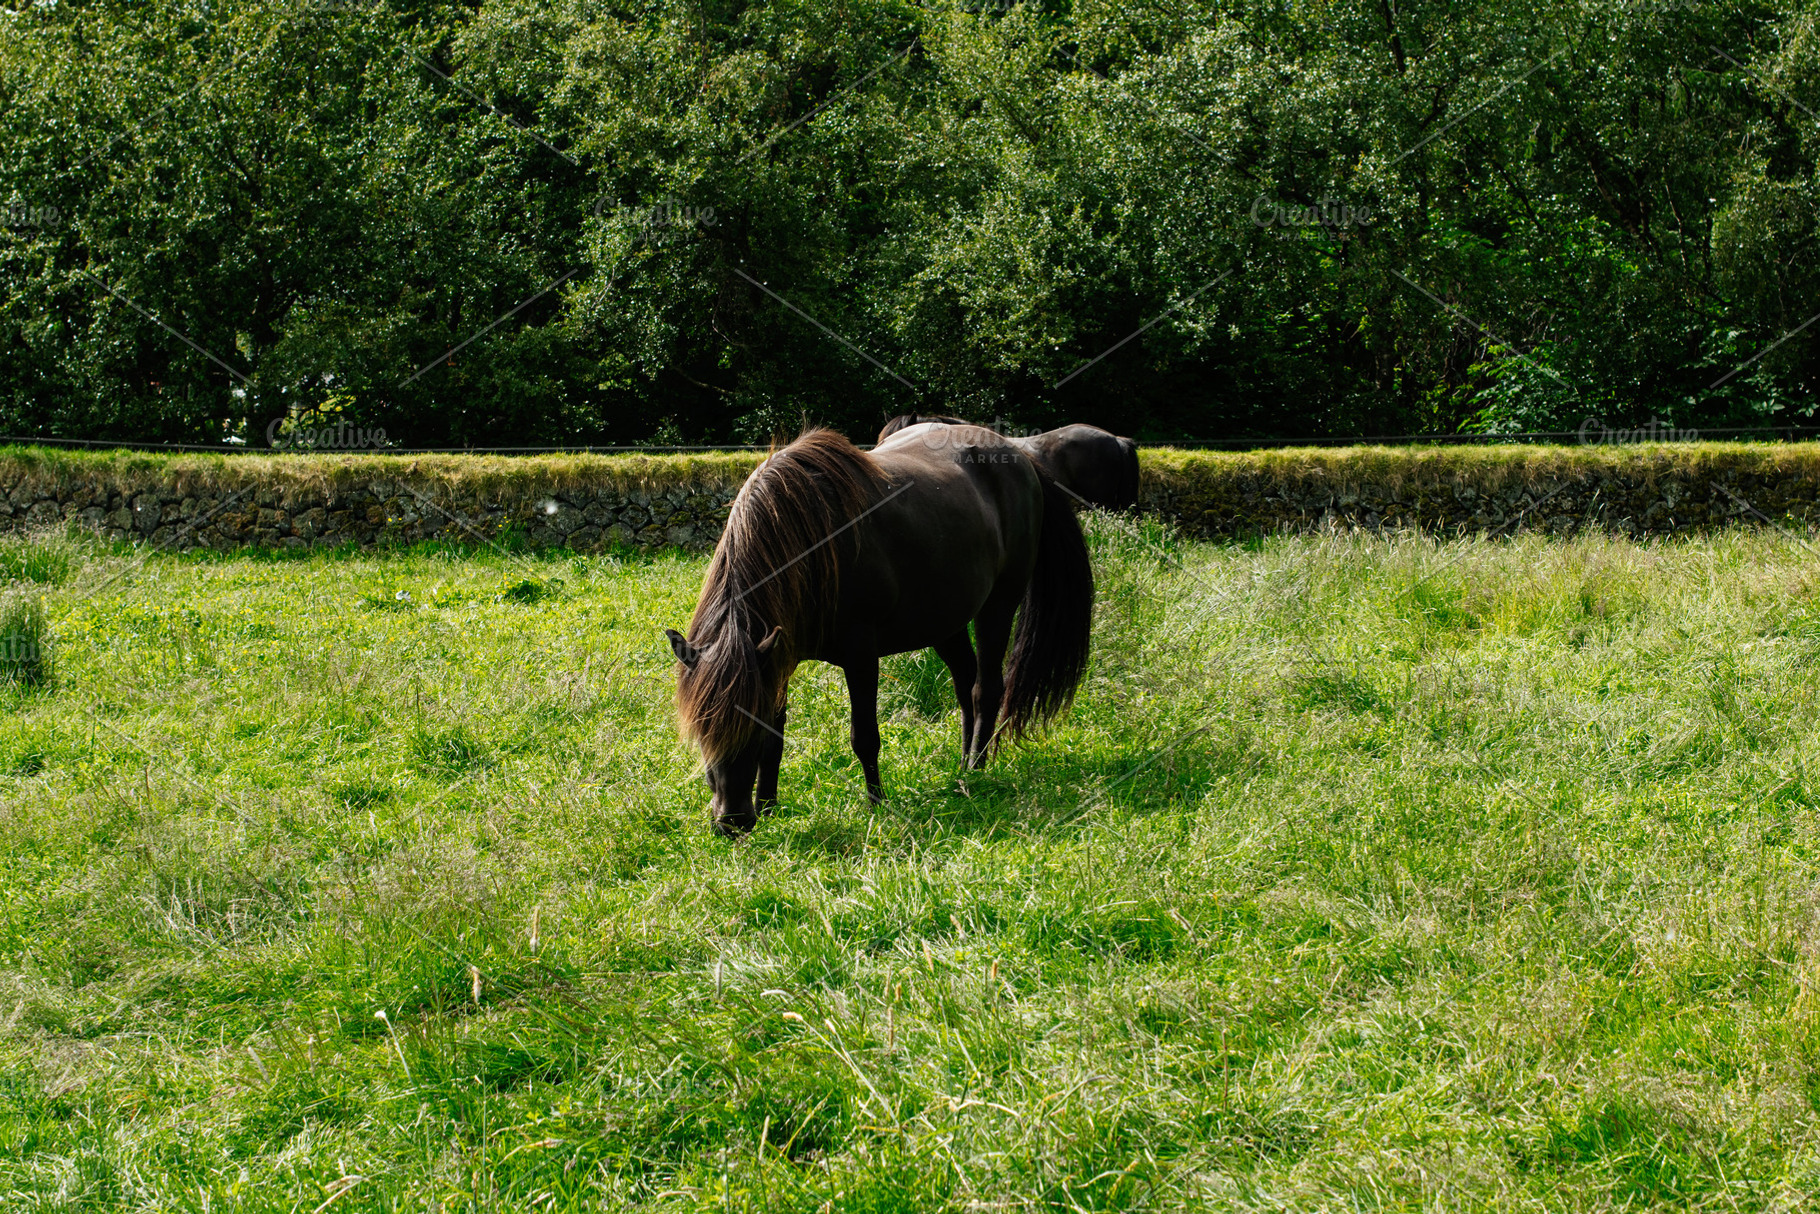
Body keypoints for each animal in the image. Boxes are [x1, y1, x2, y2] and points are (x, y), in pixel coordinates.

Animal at [666, 426, 1094, 836]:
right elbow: (777, 734)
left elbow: (864, 737)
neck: (810, 542)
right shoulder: (775, 656)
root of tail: (1019, 456)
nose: (732, 821)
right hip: (945, 622)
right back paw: (961, 767)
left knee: (984, 689)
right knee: (964, 684)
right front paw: (770, 808)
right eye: (702, 732)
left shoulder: (859, 655)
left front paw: (877, 805)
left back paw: (976, 769)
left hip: (998, 606)